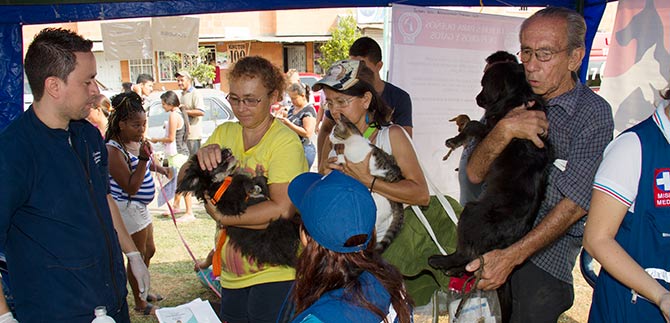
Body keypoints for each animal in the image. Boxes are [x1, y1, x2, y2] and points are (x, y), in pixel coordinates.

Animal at [330, 116, 404, 253]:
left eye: (334, 132)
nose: (328, 137)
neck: (352, 142)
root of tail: (398, 202)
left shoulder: (354, 162)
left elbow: (343, 159)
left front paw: (337, 160)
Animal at [430, 62, 552, 278]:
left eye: (484, 84)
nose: (477, 98)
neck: (518, 96)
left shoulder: (494, 130)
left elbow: (473, 125)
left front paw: (454, 140)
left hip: (470, 213)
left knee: (465, 253)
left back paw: (440, 261)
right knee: (473, 260)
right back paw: (455, 271)